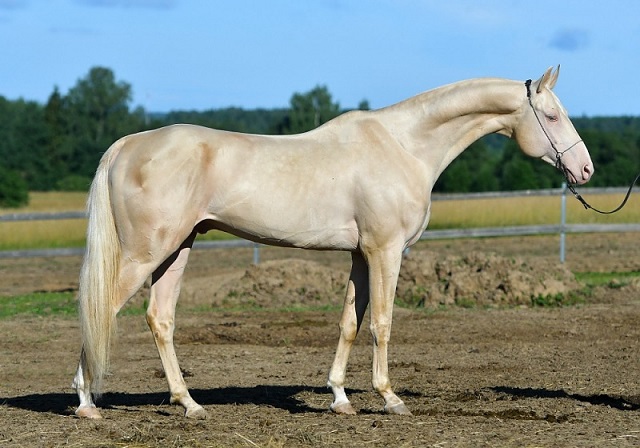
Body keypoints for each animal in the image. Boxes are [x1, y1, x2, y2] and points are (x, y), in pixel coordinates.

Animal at [72, 66, 593, 419]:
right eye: (551, 116)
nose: (584, 169)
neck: (404, 146)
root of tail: (128, 145)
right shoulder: (385, 251)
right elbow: (382, 323)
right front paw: (390, 398)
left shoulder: (361, 255)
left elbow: (349, 322)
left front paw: (340, 397)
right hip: (146, 254)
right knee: (101, 311)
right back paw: (86, 403)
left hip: (177, 250)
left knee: (160, 319)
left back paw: (189, 404)